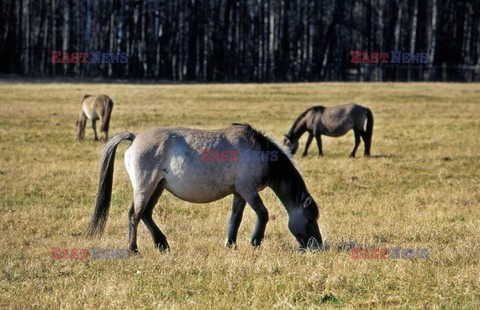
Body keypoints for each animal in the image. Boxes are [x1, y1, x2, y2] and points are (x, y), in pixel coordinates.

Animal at [86, 122, 322, 253]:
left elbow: (235, 219)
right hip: (146, 187)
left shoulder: (239, 193)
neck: (261, 153)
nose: (317, 246)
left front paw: (231, 244)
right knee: (135, 215)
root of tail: (135, 138)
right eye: (310, 219)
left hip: (158, 187)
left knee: (146, 214)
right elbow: (263, 214)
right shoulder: (248, 190)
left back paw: (162, 245)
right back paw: (133, 250)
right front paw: (255, 242)